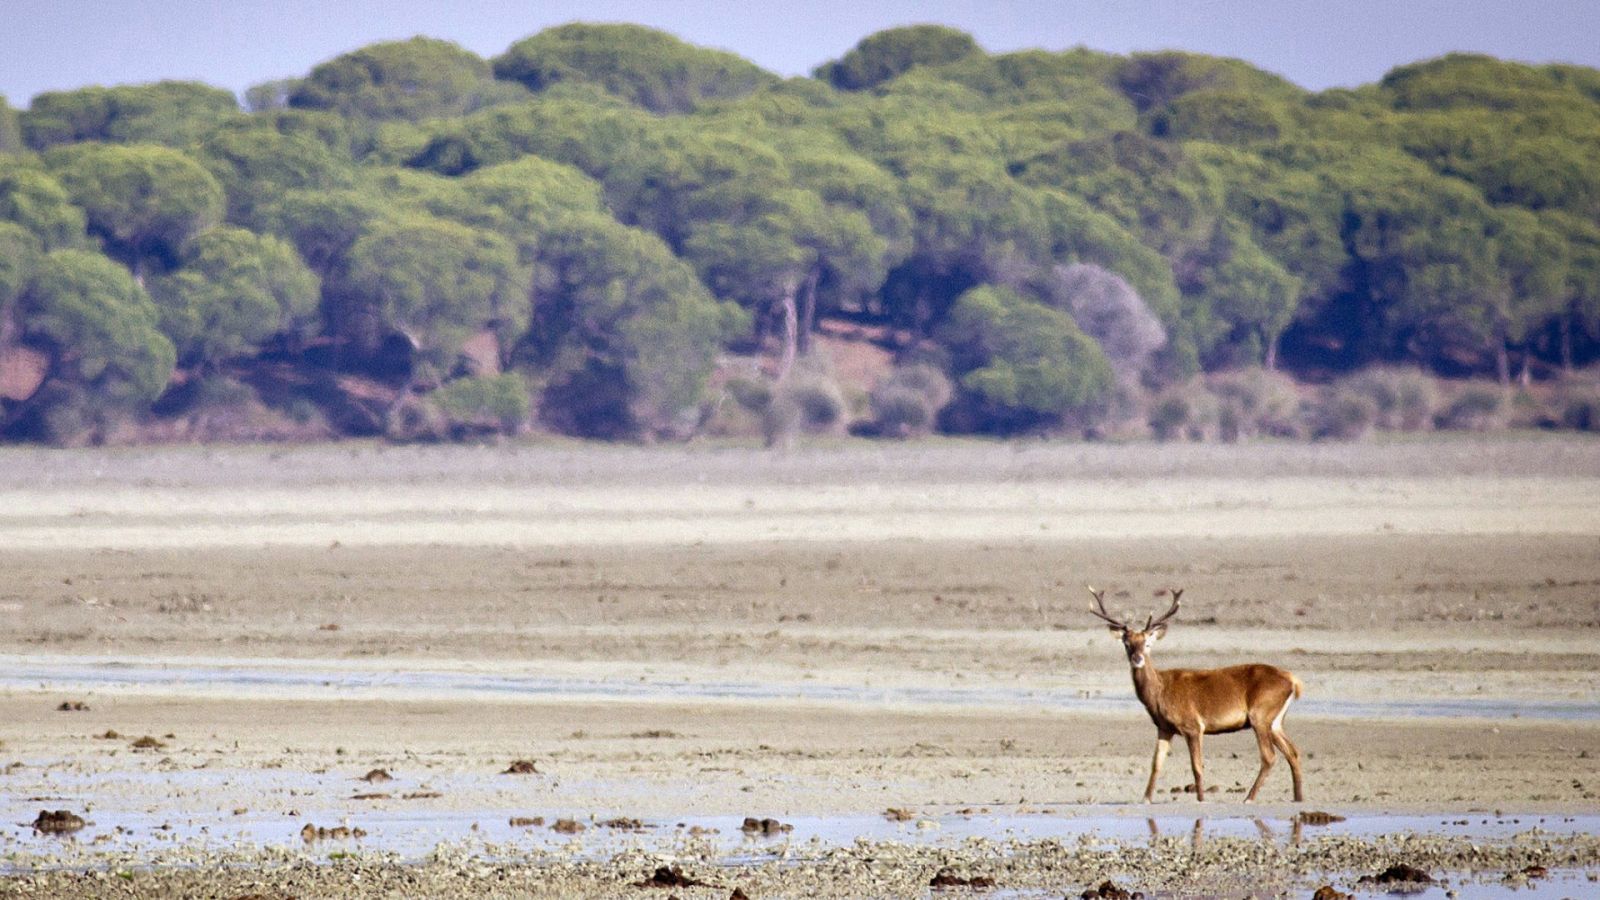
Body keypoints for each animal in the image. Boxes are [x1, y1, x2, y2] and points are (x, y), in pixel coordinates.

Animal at [1088, 586, 1299, 800]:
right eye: (1126, 643)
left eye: (1148, 643)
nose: (1137, 658)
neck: (1160, 694)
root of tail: (1293, 681)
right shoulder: (1164, 728)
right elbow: (1156, 764)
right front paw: (1146, 799)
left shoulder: (1193, 726)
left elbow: (1197, 766)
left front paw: (1201, 798)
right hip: (1275, 721)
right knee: (1293, 751)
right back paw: (1298, 797)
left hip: (1260, 715)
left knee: (1269, 756)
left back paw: (1249, 798)